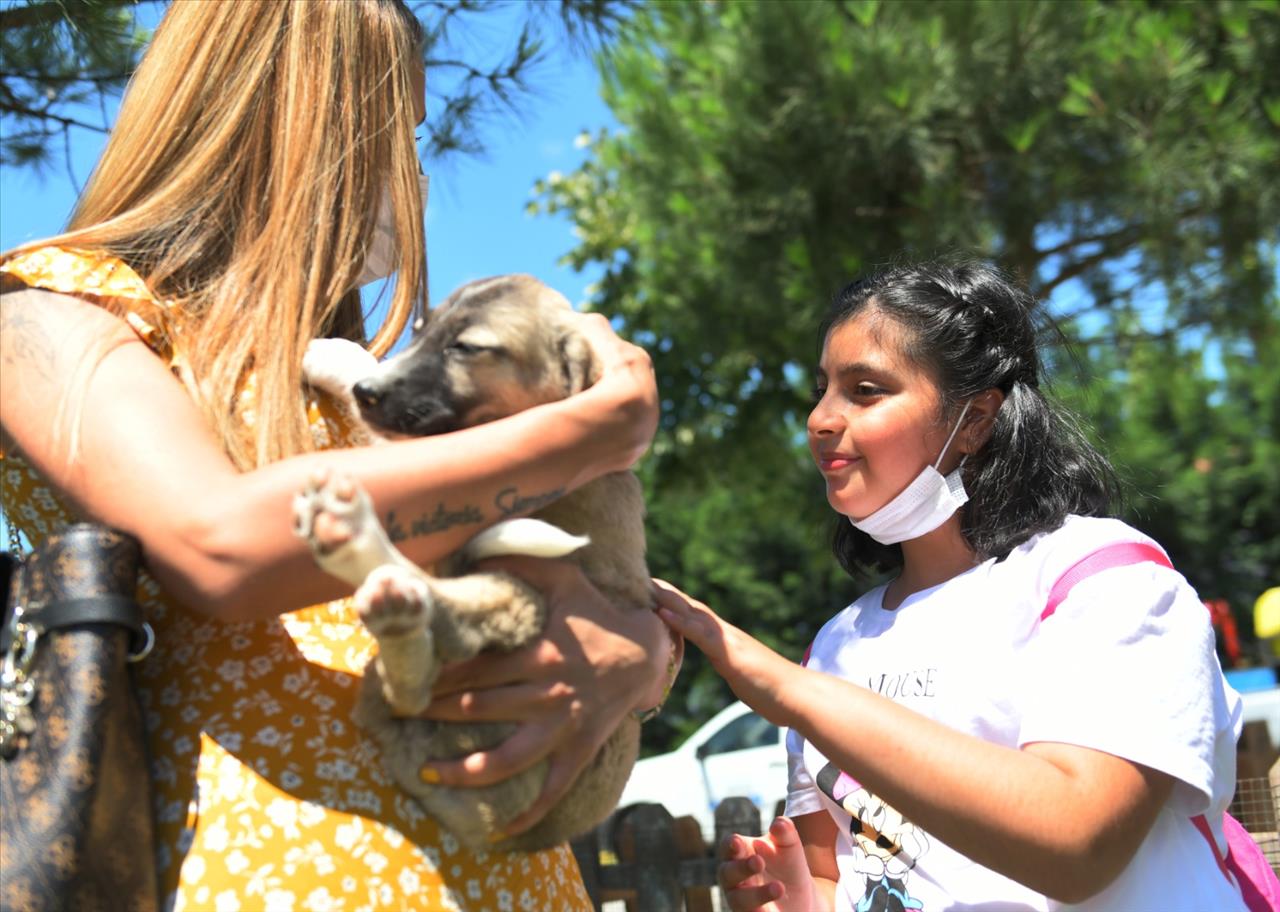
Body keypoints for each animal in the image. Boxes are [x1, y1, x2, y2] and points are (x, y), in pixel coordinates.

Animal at [293, 274, 650, 850]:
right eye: (421, 330)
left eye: (465, 348)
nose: (369, 393)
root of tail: (506, 833)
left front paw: (332, 356)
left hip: (521, 601)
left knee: (433, 646)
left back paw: (360, 550)